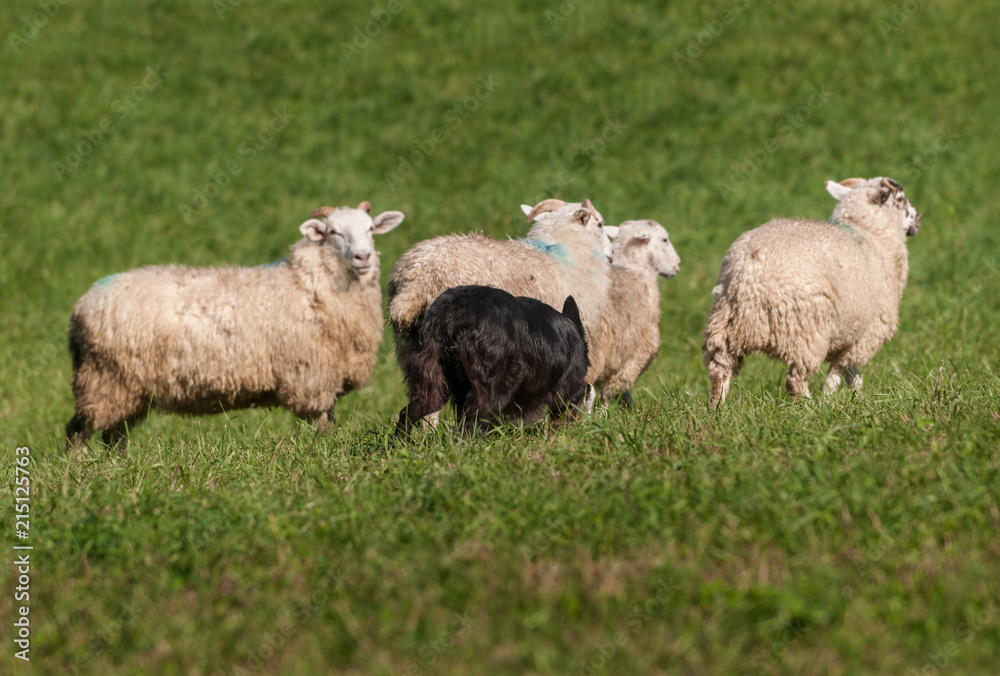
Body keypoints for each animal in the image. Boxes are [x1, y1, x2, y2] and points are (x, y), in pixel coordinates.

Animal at [65, 201, 405, 449]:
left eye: (371, 228)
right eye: (333, 232)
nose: (363, 257)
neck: (309, 283)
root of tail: (82, 305)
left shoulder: (328, 375)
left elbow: (330, 421)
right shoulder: (312, 376)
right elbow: (324, 424)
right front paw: (326, 451)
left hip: (128, 388)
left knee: (113, 434)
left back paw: (118, 465)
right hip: (103, 379)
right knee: (77, 430)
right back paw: (78, 469)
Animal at [395, 285, 594, 437]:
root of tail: (453, 315)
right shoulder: (567, 391)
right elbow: (581, 398)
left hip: (433, 385)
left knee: (407, 413)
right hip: (495, 390)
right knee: (467, 427)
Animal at [587, 219, 681, 407]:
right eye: (665, 239)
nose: (677, 265)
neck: (634, 271)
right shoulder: (634, 356)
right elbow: (609, 392)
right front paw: (604, 413)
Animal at [702, 176, 922, 406]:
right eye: (900, 199)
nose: (919, 219)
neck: (868, 232)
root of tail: (750, 272)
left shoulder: (850, 334)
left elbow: (853, 374)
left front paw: (858, 398)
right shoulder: (865, 332)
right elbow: (837, 372)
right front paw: (829, 400)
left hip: (725, 325)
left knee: (719, 371)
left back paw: (717, 407)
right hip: (807, 330)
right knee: (795, 380)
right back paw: (809, 406)